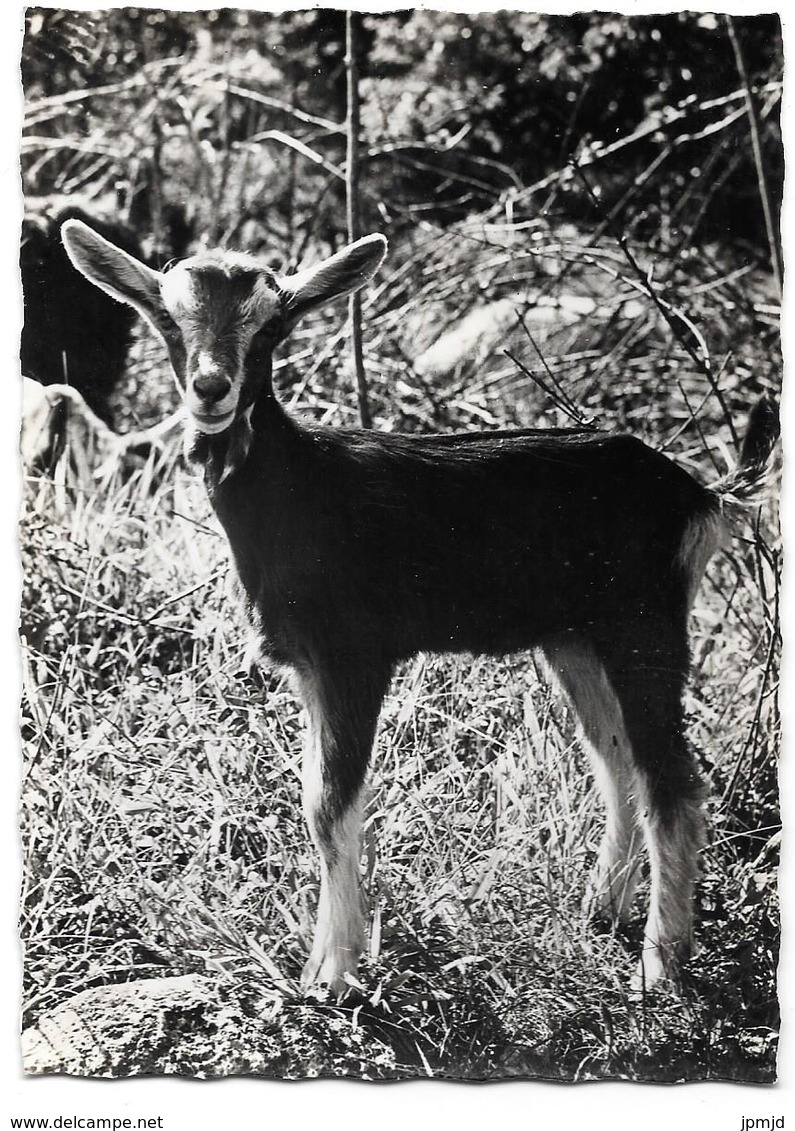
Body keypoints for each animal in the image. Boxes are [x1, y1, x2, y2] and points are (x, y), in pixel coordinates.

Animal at [60, 216, 778, 995]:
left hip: (643, 627)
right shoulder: (310, 668)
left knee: (672, 780)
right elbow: (314, 796)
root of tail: (703, 495)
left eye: (273, 324)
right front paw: (325, 961)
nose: (212, 387)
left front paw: (335, 973)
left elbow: (330, 803)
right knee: (617, 761)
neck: (297, 490)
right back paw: (599, 909)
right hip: (575, 639)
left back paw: (659, 965)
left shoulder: (355, 655)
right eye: (166, 317)